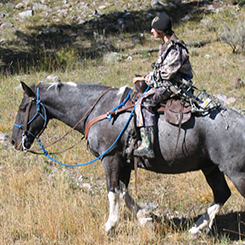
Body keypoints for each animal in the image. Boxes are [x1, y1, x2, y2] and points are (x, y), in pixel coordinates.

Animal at [11, 81, 245, 237]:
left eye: (23, 108)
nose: (14, 141)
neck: (102, 111)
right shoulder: (124, 163)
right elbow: (124, 192)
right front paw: (146, 220)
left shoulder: (110, 159)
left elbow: (113, 191)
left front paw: (109, 226)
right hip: (211, 168)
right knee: (221, 194)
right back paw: (196, 228)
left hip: (236, 173)